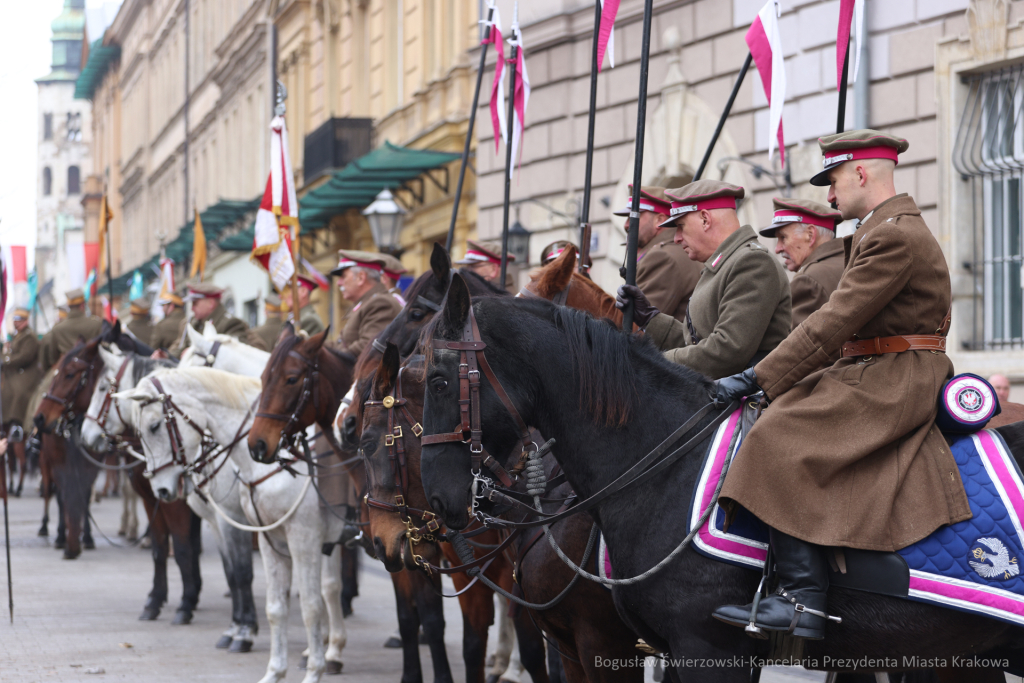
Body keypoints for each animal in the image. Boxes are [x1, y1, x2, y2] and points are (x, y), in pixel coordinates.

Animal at [81, 348, 262, 651]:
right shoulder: (169, 506)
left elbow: (193, 554)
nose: (85, 435)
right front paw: (156, 602)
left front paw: (188, 606)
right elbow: (163, 551)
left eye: (104, 388)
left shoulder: (212, 515)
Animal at [119, 368, 348, 683]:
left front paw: (245, 634)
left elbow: (253, 580)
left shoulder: (298, 538)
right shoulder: (259, 534)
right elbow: (262, 594)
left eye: (154, 426)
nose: (162, 491)